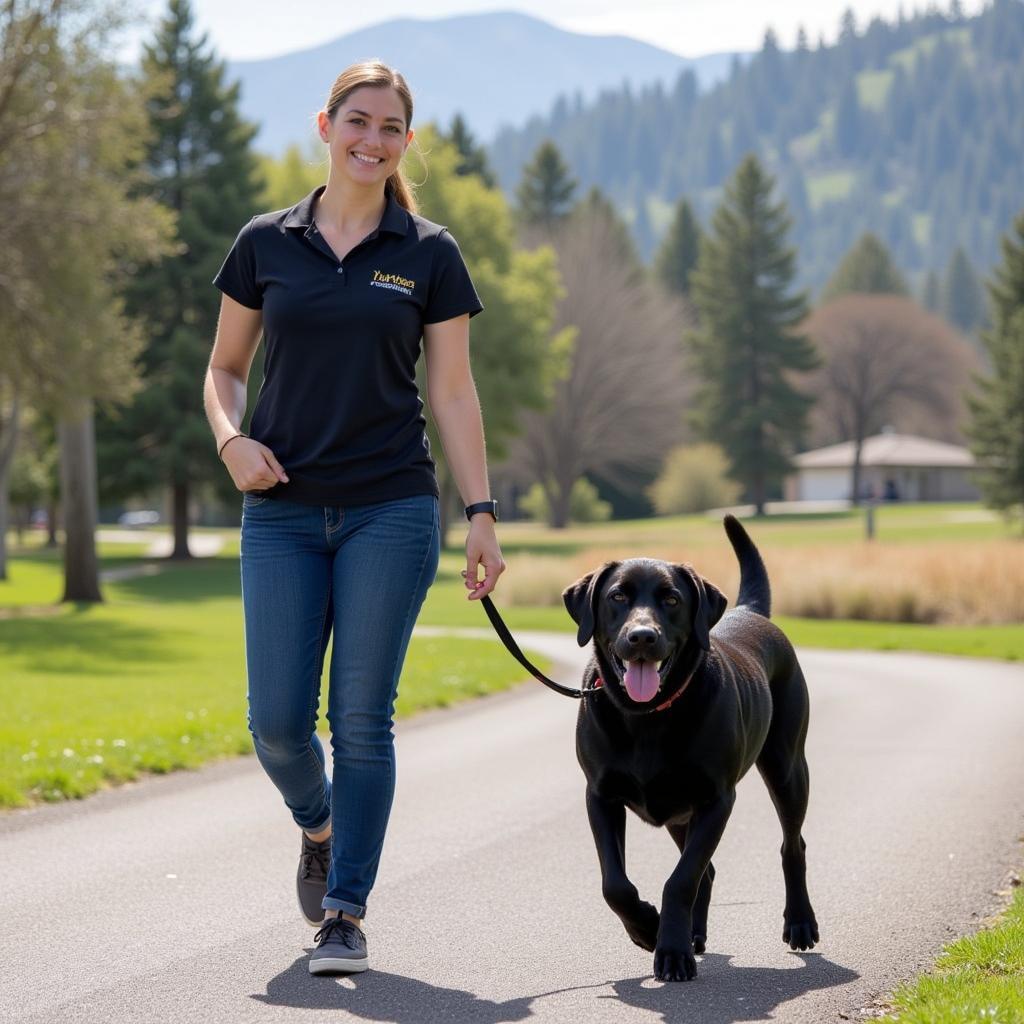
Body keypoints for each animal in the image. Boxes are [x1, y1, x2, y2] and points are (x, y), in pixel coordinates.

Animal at [565, 516, 819, 978]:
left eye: (671, 598)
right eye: (617, 596)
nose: (642, 637)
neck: (646, 717)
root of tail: (749, 611)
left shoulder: (716, 799)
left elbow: (681, 879)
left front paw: (671, 950)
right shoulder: (600, 796)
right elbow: (615, 884)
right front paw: (648, 928)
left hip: (787, 767)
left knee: (792, 845)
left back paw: (800, 923)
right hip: (677, 813)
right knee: (709, 869)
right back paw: (692, 933)